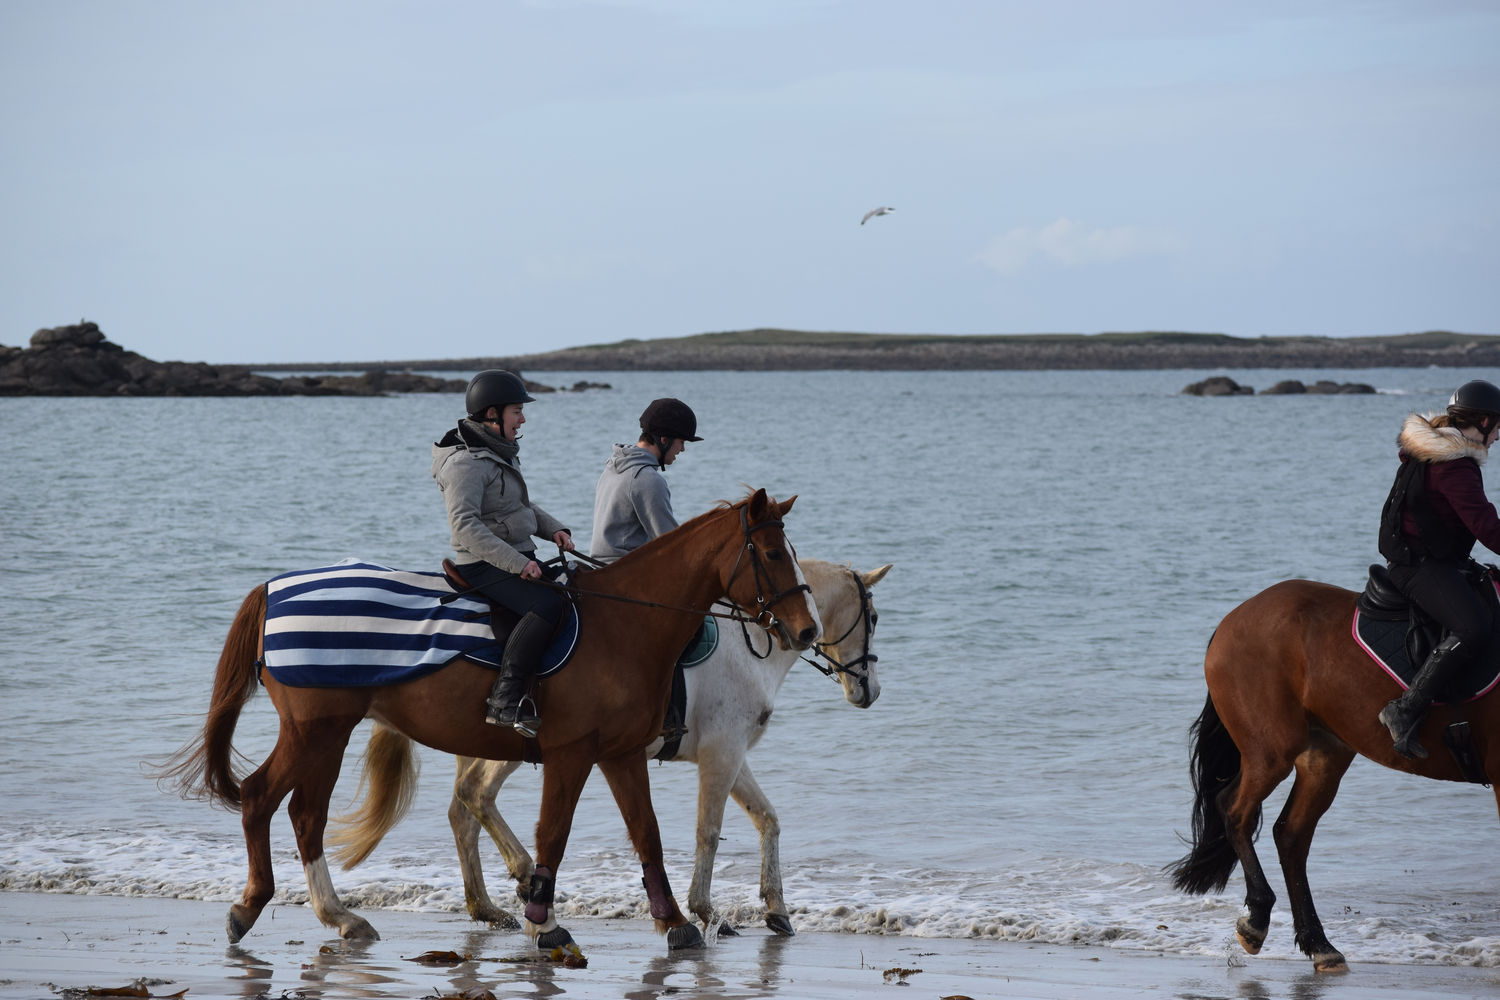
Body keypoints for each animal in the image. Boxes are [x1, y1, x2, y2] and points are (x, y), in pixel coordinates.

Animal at [161, 488, 822, 959]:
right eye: (770, 554)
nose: (808, 630)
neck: (623, 625)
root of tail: (275, 588)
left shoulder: (621, 754)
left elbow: (647, 834)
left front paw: (674, 922)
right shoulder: (572, 753)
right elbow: (553, 834)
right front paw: (544, 923)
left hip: (327, 734)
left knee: (304, 814)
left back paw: (339, 916)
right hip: (316, 731)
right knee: (263, 799)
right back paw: (255, 908)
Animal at [328, 560, 888, 935]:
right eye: (875, 617)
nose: (870, 692)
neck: (750, 645)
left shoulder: (733, 755)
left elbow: (767, 820)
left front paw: (776, 909)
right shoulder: (722, 753)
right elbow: (709, 832)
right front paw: (708, 911)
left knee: (462, 813)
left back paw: (487, 906)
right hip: (517, 746)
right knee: (475, 794)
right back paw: (522, 877)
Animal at [1170, 575, 1500, 971]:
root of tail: (1232, 619)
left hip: (1323, 756)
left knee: (1291, 834)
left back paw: (1318, 943)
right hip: (1272, 753)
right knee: (1236, 811)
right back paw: (1258, 921)